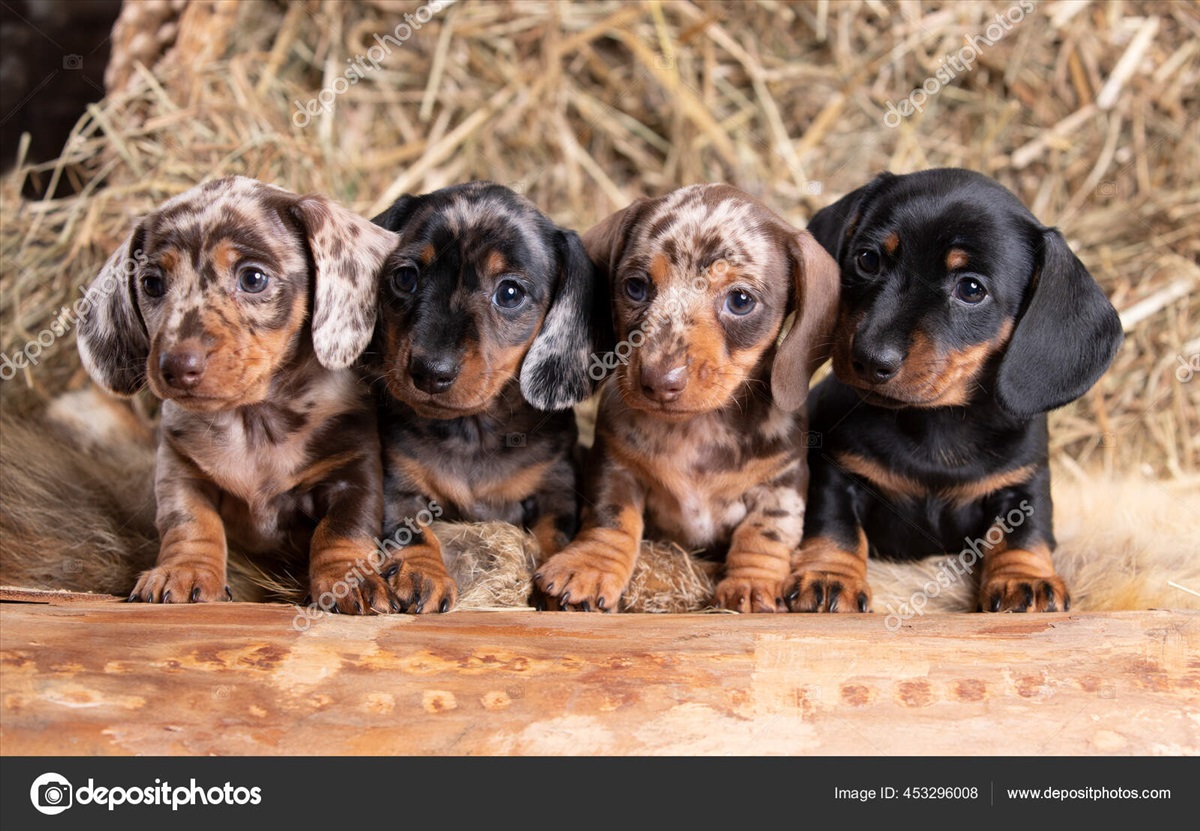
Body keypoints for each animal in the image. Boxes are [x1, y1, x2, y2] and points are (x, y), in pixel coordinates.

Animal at [76, 175, 403, 612]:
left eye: (253, 278)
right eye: (152, 283)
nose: (175, 366)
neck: (254, 421)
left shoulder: (353, 472)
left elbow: (343, 528)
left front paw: (348, 580)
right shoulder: (180, 471)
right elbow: (190, 521)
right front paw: (185, 570)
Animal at [362, 180, 609, 610]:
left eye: (509, 292)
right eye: (405, 277)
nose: (430, 372)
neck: (471, 431)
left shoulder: (555, 486)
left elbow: (553, 532)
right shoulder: (399, 483)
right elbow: (410, 529)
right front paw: (423, 574)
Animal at [530, 184, 840, 612]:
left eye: (740, 300)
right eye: (636, 286)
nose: (659, 381)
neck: (697, 430)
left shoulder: (782, 483)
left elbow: (764, 533)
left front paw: (751, 582)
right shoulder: (616, 467)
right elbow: (612, 518)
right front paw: (589, 565)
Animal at [787, 169, 1123, 612]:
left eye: (971, 289)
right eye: (868, 259)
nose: (869, 359)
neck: (936, 423)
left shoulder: (1023, 483)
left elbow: (1024, 533)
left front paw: (1026, 579)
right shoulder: (836, 470)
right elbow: (835, 525)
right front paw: (829, 576)